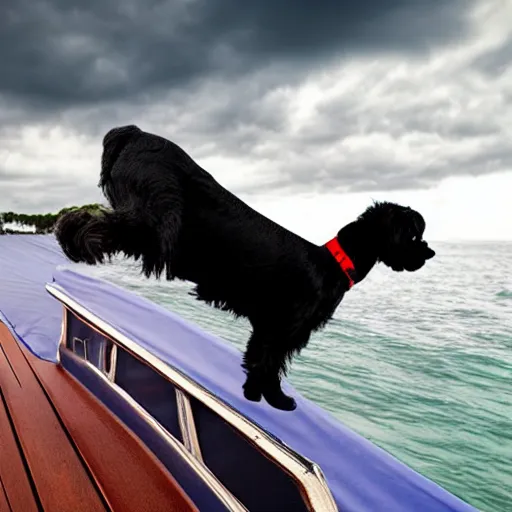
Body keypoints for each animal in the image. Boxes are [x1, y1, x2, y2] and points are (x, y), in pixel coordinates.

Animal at [55, 127, 436, 412]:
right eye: (413, 234)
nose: (429, 252)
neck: (334, 263)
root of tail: (134, 132)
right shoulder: (286, 327)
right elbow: (270, 363)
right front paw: (276, 399)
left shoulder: (269, 327)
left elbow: (258, 358)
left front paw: (255, 395)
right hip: (156, 220)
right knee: (95, 223)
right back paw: (77, 246)